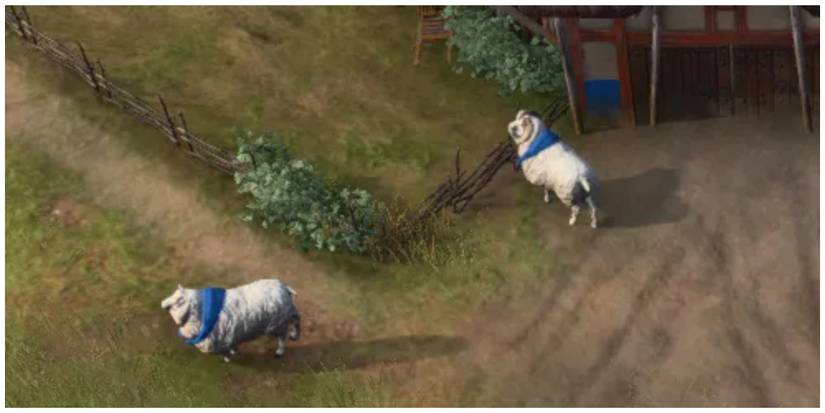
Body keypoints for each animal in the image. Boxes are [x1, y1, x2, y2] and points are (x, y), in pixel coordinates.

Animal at [161, 279, 301, 362]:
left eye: (178, 302)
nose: (163, 304)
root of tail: (284, 288)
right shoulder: (233, 334)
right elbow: (233, 344)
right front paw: (234, 351)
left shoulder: (222, 339)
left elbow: (225, 352)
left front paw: (228, 358)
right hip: (285, 315)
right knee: (296, 319)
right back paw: (294, 335)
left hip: (278, 323)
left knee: (284, 335)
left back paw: (280, 351)